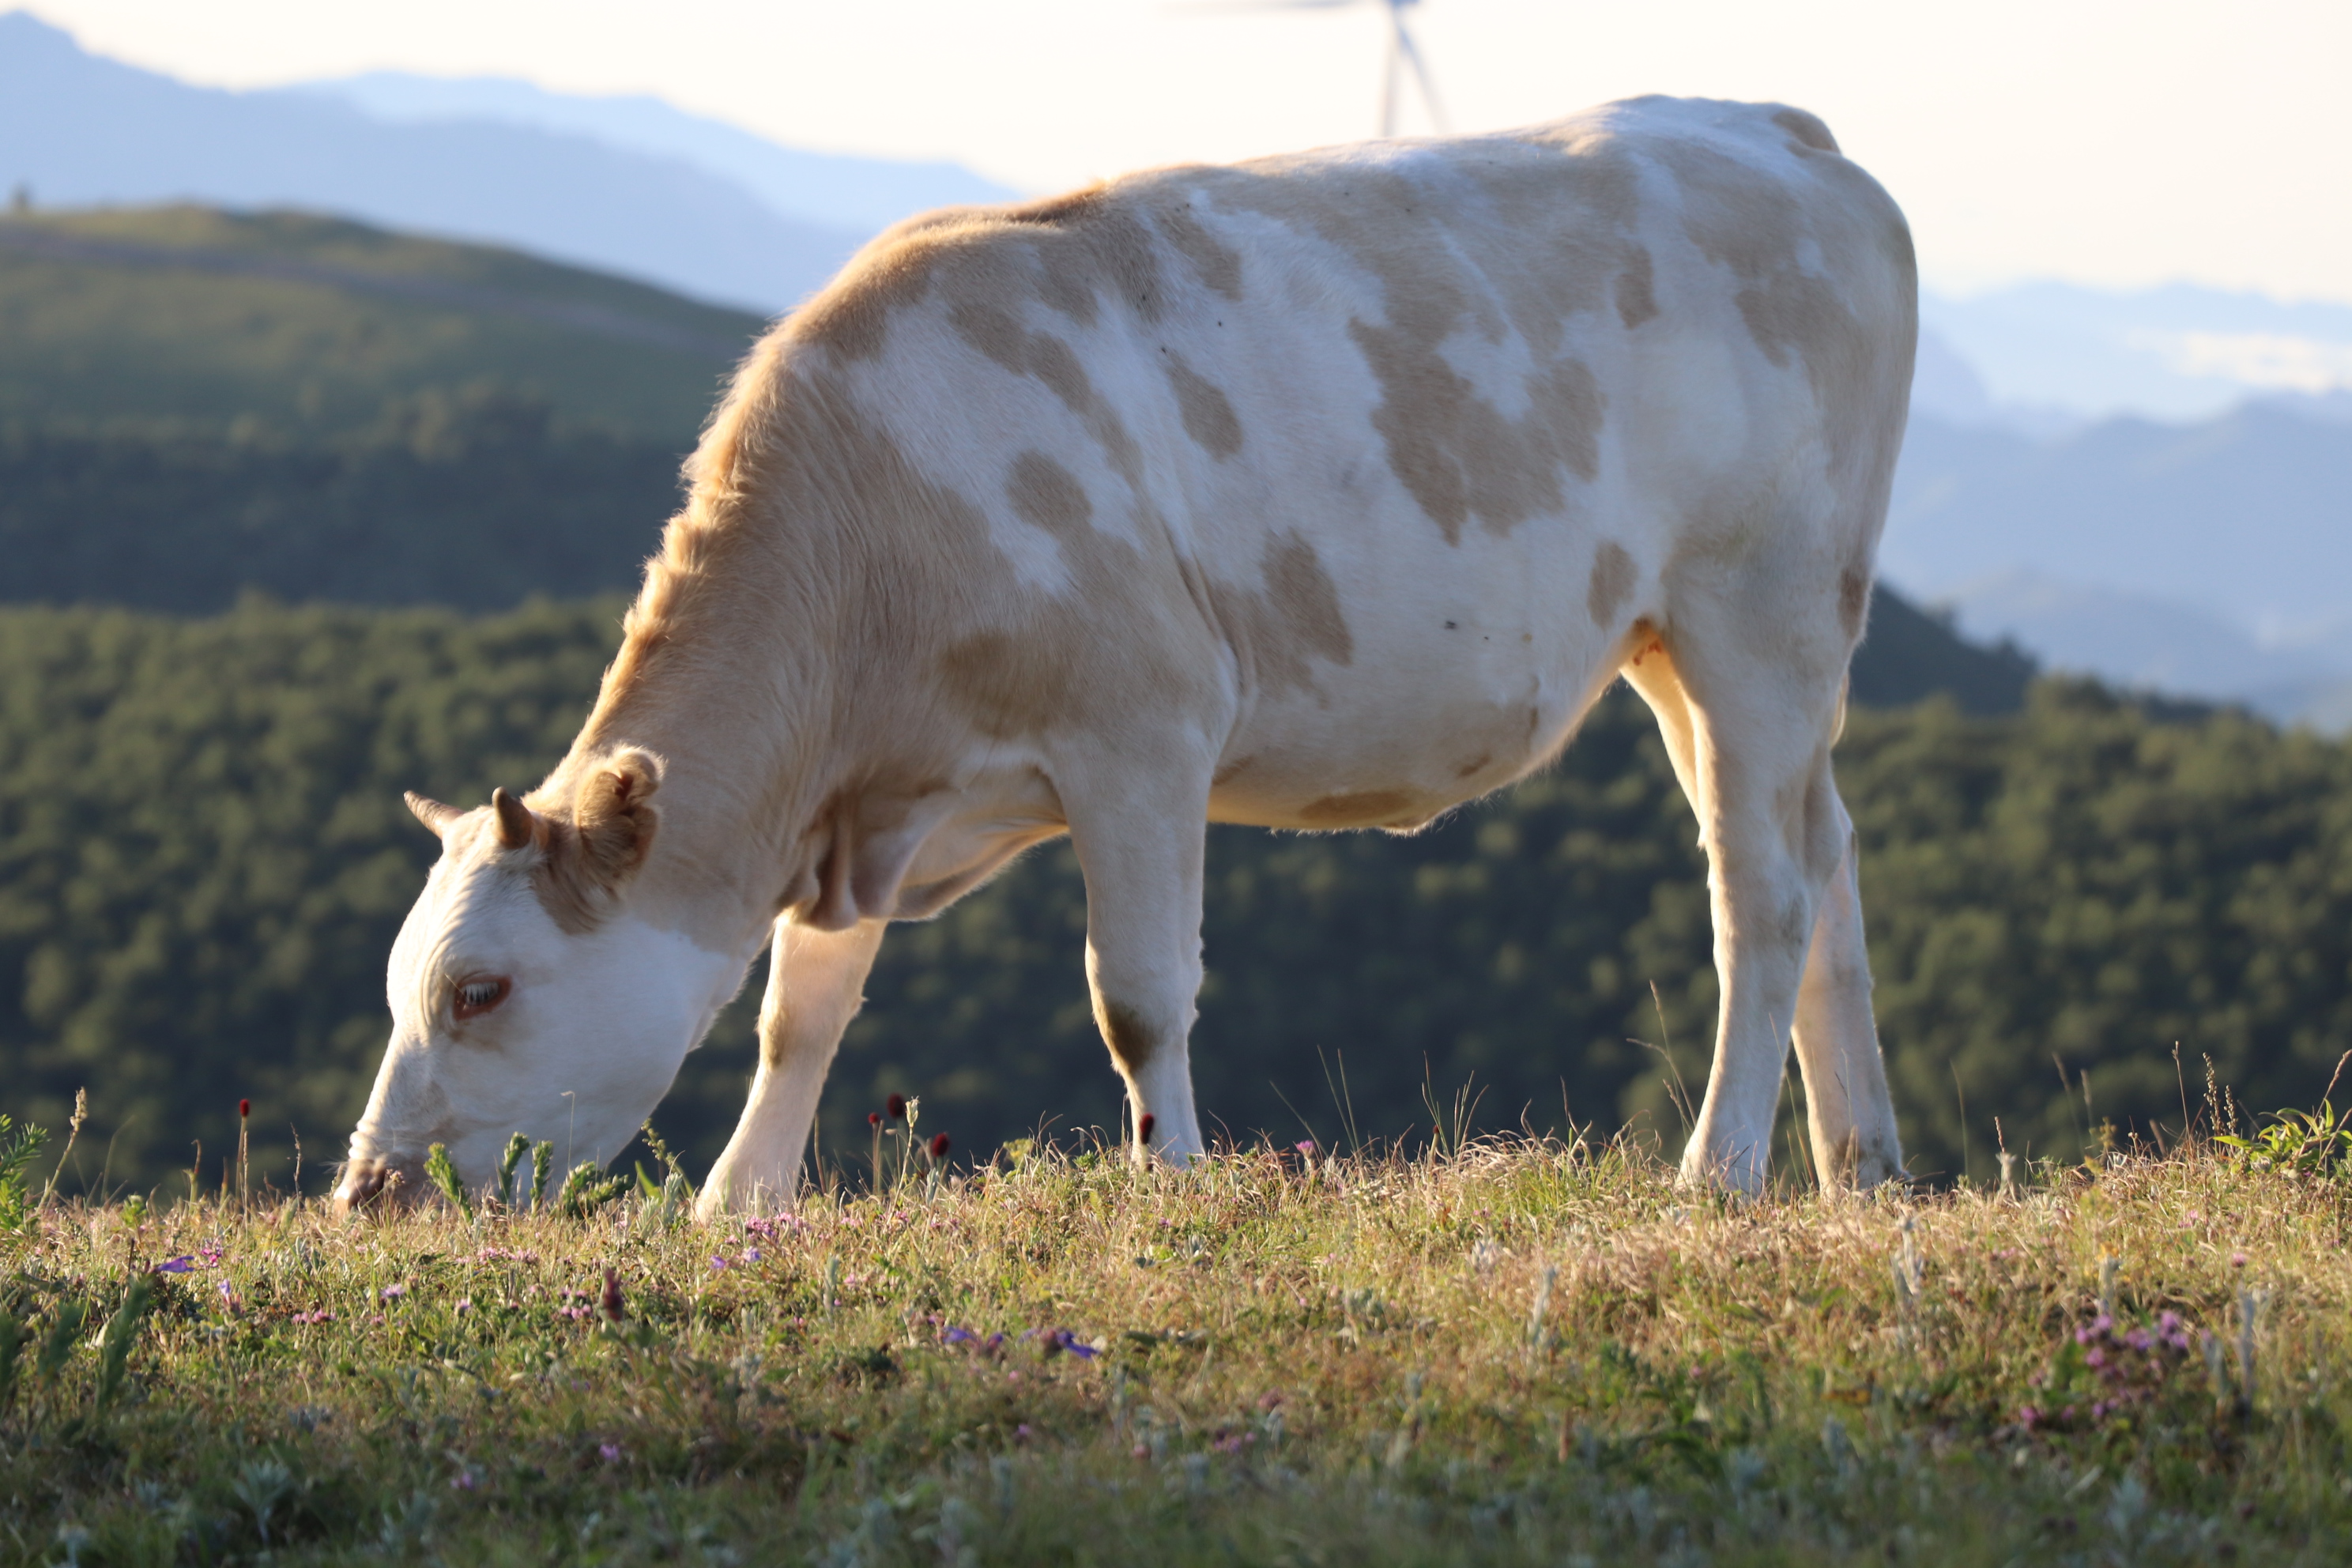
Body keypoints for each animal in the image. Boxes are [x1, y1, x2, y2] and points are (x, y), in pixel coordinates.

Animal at [336, 98, 1909, 1222]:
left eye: (480, 989)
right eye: (403, 977)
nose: (369, 1192)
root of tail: (1785, 133)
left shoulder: (1143, 729)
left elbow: (1137, 994)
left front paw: (1176, 1182)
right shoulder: (866, 798)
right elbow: (800, 1012)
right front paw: (738, 1204)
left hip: (1757, 608)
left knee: (1762, 891)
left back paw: (1722, 1167)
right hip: (1683, 645)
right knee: (1825, 852)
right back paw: (1863, 1162)